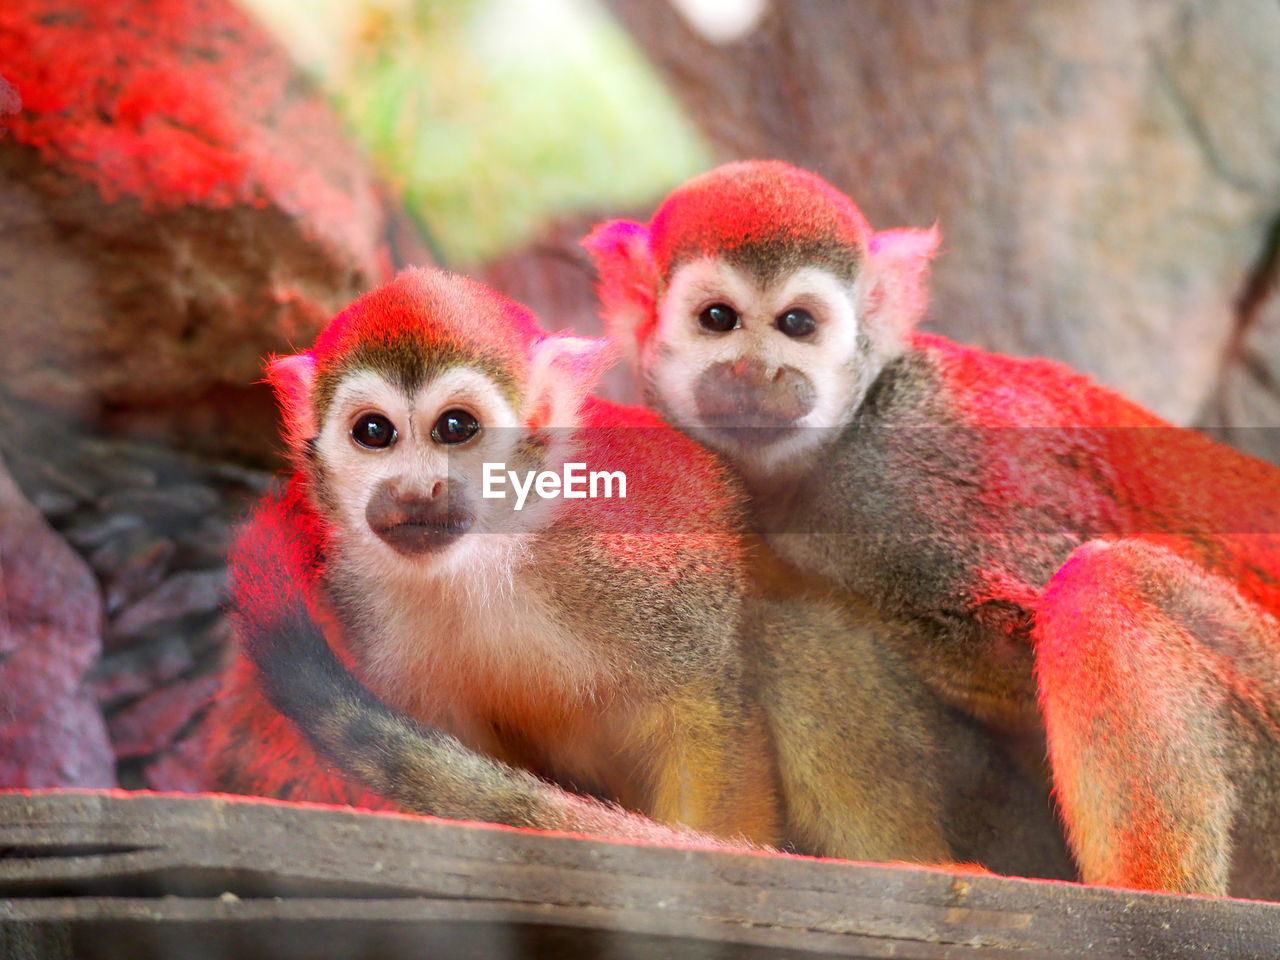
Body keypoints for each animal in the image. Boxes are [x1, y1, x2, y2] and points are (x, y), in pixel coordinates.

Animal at [209, 267, 1070, 885]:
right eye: (374, 433)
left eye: (455, 428)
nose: (418, 492)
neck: (491, 554)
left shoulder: (632, 555)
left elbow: (706, 696)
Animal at [586, 160, 1280, 901]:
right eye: (718, 320)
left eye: (797, 324)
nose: (758, 372)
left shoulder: (916, 473)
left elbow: (1013, 642)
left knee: (1100, 581)